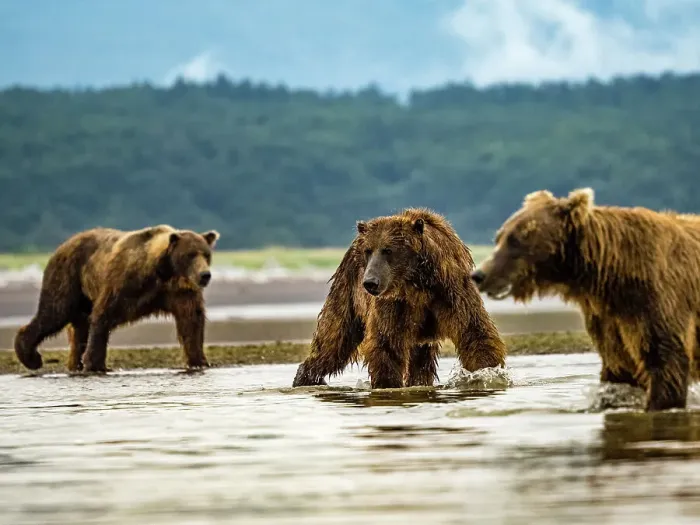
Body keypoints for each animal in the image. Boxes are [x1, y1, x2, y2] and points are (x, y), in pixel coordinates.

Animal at [14, 225, 220, 373]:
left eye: (206, 254)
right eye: (190, 255)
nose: (204, 275)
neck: (164, 272)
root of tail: (64, 244)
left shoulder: (179, 291)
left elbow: (191, 321)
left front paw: (199, 361)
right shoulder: (124, 283)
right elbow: (103, 315)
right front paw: (95, 364)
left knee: (78, 327)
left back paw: (74, 364)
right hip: (69, 276)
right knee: (54, 312)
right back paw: (31, 357)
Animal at [292, 208, 507, 389]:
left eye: (388, 250)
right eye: (368, 250)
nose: (370, 282)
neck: (416, 284)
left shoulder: (450, 291)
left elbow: (473, 332)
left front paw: (488, 374)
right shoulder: (394, 304)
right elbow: (386, 342)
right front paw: (388, 384)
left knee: (421, 360)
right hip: (348, 292)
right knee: (333, 341)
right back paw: (306, 378)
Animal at [470, 188, 700, 411]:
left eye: (517, 239)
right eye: (499, 237)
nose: (479, 275)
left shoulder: (659, 301)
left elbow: (666, 364)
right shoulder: (610, 321)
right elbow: (620, 370)